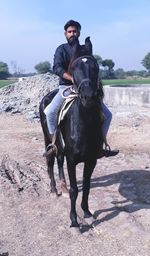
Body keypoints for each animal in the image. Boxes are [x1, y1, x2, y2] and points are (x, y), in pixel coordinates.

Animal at [39, 39, 103, 227]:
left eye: (96, 67)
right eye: (74, 68)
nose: (88, 97)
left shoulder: (91, 160)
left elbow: (87, 187)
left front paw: (87, 212)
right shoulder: (72, 160)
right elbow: (75, 189)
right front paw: (74, 219)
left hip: (60, 147)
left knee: (59, 161)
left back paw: (62, 186)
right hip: (47, 140)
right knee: (51, 162)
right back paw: (54, 189)